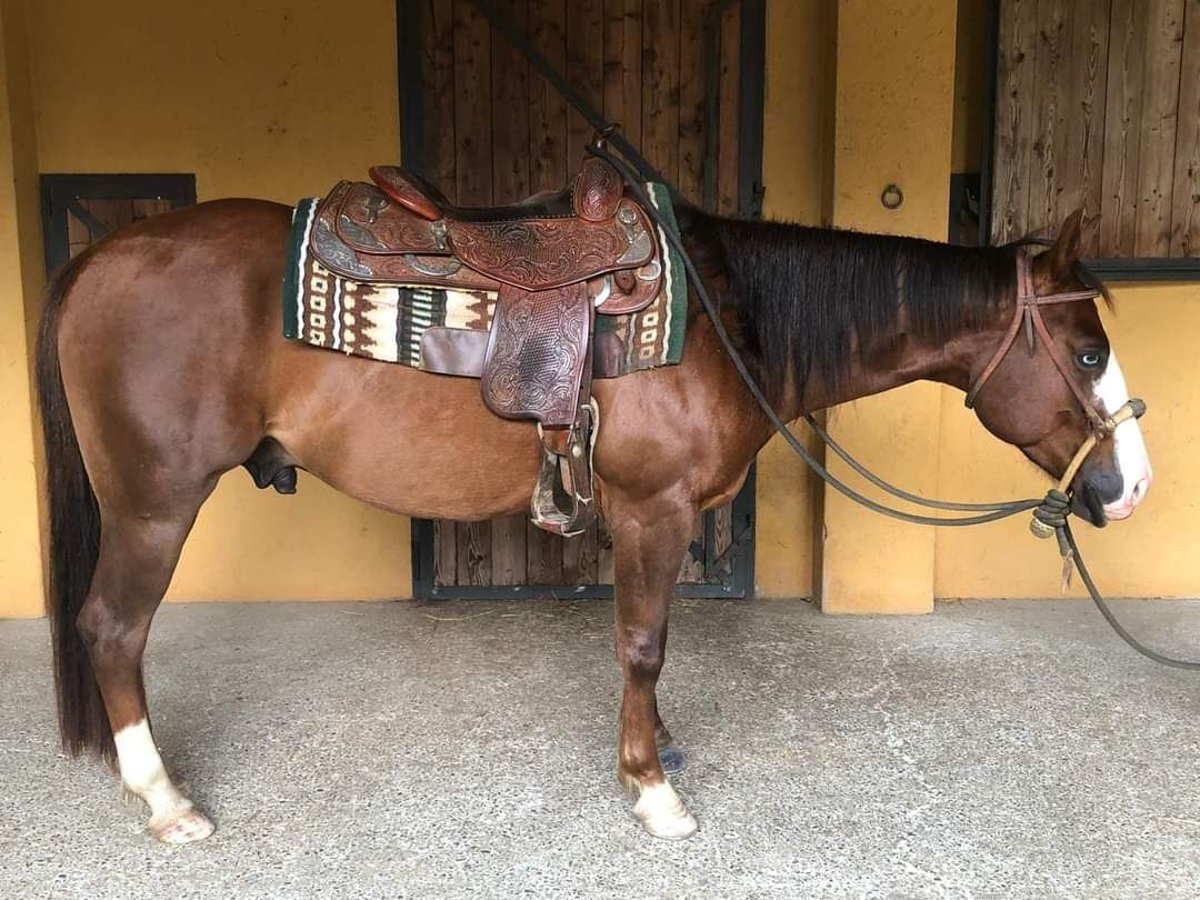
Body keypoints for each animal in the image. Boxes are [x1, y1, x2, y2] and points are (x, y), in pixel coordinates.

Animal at [35, 199, 1152, 844]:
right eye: (1088, 353)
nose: (1131, 489)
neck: (727, 321)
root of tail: (97, 256)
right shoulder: (654, 511)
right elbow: (645, 643)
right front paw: (651, 788)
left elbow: (647, 647)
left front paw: (657, 745)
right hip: (153, 504)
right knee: (113, 631)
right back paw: (167, 802)